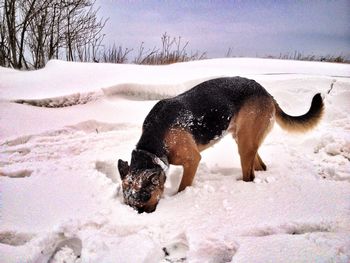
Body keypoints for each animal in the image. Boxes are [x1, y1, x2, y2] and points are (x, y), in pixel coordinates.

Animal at [118, 77, 326, 213]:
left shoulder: (192, 160)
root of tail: (266, 92)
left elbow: (183, 187)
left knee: (249, 175)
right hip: (245, 140)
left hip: (245, 143)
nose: (141, 215)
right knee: (260, 166)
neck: (154, 142)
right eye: (129, 204)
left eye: (145, 199)